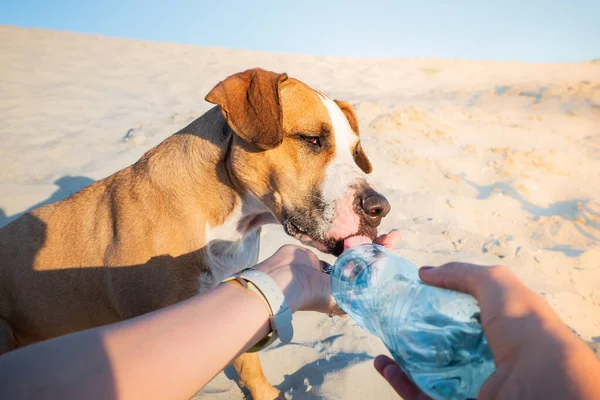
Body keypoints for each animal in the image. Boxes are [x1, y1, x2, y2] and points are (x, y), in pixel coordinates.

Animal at [0, 69, 390, 400]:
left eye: (356, 152)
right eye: (312, 139)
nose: (379, 208)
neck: (232, 219)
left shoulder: (233, 296)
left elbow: (249, 361)